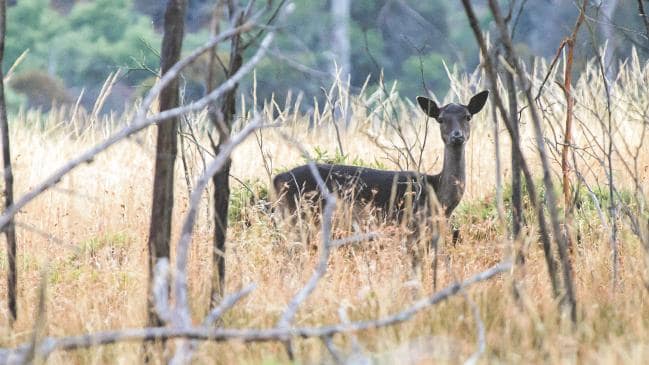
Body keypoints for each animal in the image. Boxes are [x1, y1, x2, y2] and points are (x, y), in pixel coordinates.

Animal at [270, 90, 488, 230]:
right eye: (441, 119)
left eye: (468, 116)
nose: (457, 136)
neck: (439, 199)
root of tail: (277, 179)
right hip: (302, 217)